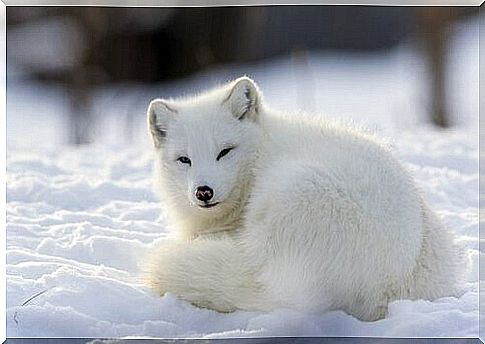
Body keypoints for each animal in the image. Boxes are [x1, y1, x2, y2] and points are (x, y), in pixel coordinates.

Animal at [142, 76, 460, 322]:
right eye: (184, 160)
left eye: (225, 152)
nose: (203, 191)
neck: (262, 152)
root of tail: (384, 286)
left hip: (290, 191)